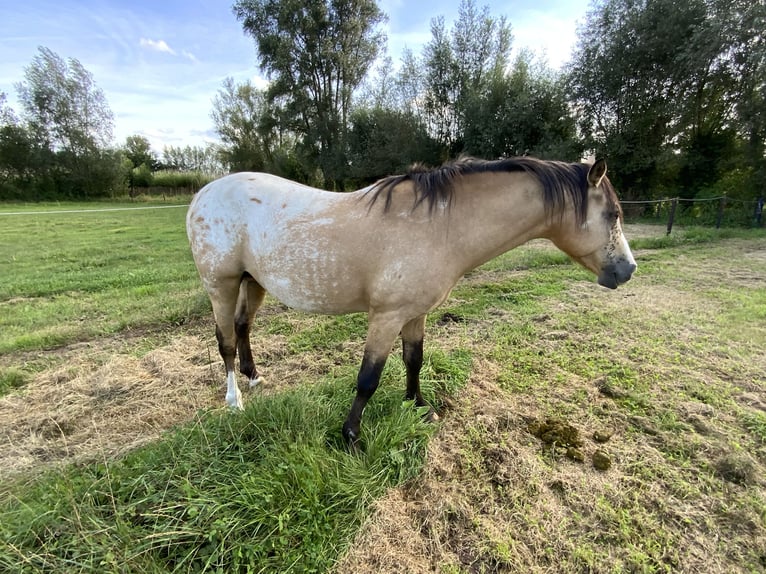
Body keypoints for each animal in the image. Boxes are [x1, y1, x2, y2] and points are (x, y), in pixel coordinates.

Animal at [189, 159, 640, 450]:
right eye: (614, 214)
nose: (628, 270)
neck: (439, 226)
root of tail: (203, 194)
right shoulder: (386, 316)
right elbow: (368, 378)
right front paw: (351, 437)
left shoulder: (414, 312)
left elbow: (414, 360)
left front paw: (418, 407)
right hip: (220, 285)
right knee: (225, 341)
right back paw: (235, 401)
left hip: (253, 282)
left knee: (243, 328)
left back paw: (253, 378)